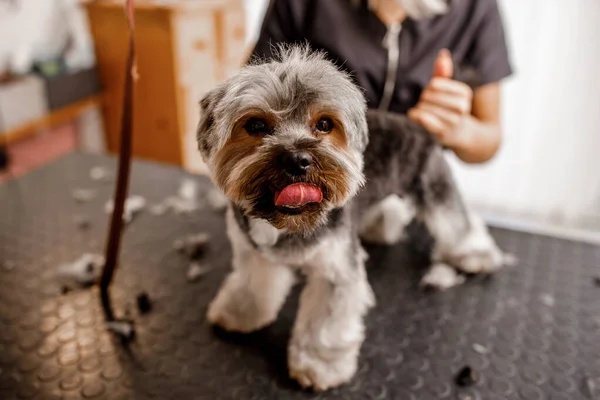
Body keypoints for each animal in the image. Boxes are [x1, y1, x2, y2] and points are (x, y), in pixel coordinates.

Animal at [195, 45, 512, 390]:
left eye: (324, 124)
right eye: (255, 126)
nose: (298, 159)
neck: (287, 223)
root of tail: (422, 126)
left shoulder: (336, 270)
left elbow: (326, 326)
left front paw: (319, 366)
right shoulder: (256, 254)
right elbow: (252, 286)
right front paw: (241, 315)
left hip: (433, 182)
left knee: (456, 220)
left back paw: (475, 255)